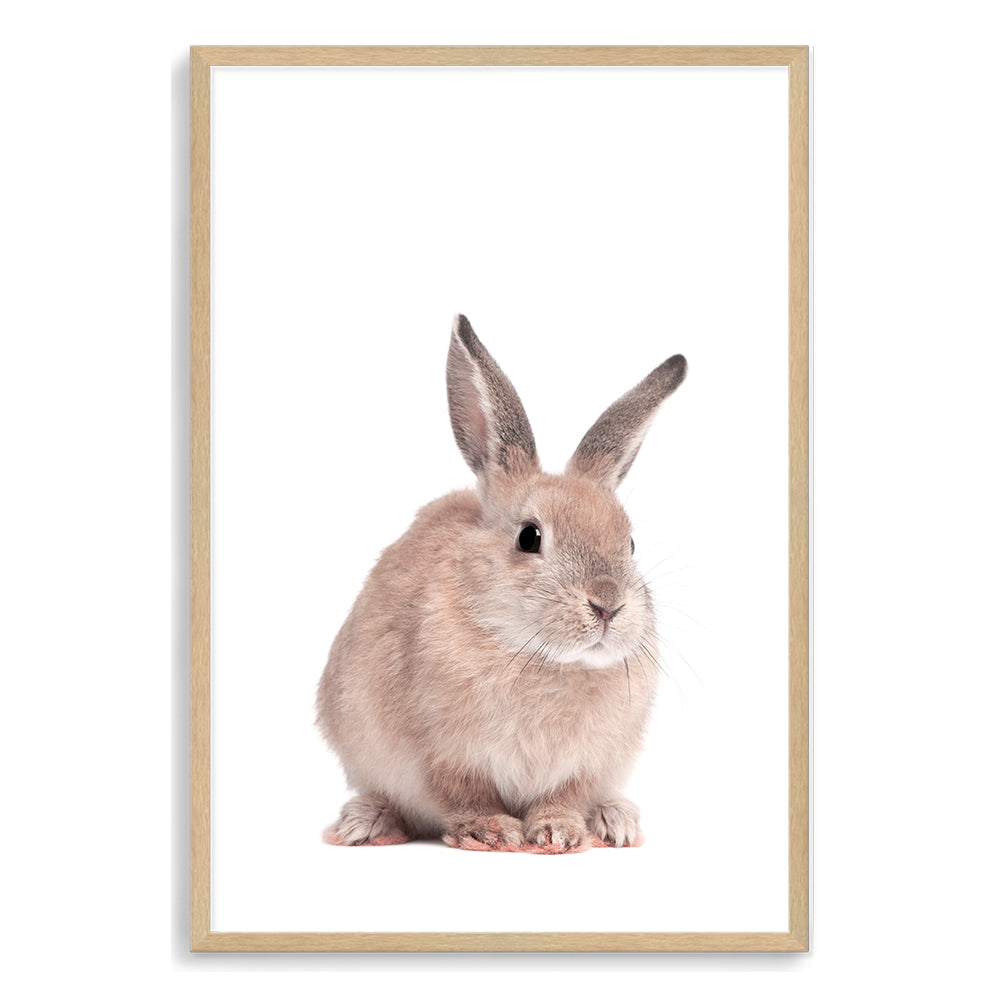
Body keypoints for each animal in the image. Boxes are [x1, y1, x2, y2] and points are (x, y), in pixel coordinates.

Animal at [316, 314, 687, 853]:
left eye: (631, 542)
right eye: (530, 537)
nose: (607, 605)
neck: (541, 658)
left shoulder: (583, 766)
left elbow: (563, 798)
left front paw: (558, 833)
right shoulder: (445, 756)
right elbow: (465, 796)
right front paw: (491, 831)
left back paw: (616, 821)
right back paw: (364, 824)